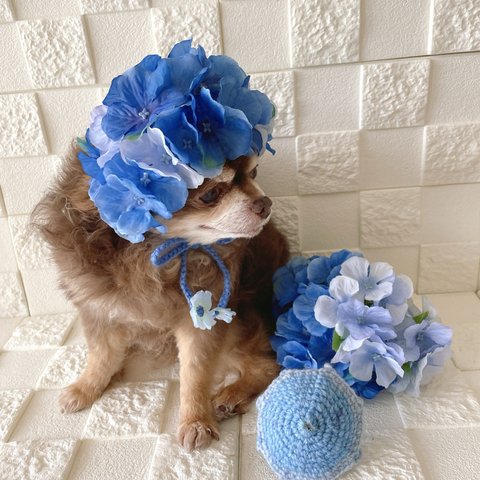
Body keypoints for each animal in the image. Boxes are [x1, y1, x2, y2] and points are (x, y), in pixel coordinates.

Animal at [34, 149, 288, 450]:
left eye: (254, 173)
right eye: (211, 194)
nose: (265, 203)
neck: (150, 257)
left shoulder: (202, 318)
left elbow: (195, 373)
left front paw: (195, 420)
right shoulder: (99, 309)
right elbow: (101, 356)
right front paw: (86, 387)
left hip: (238, 321)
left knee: (268, 364)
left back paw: (231, 395)